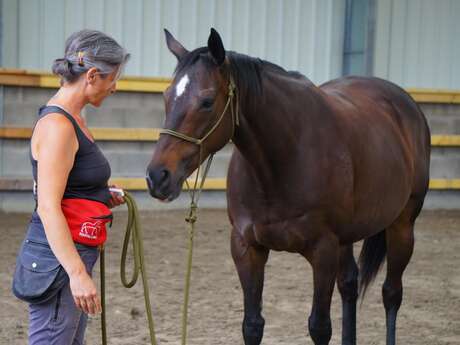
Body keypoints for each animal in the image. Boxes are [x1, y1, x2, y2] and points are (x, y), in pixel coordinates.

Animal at [146, 28, 432, 344]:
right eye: (166, 96)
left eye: (207, 101)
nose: (157, 176)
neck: (283, 159)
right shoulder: (247, 248)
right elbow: (252, 325)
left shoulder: (323, 251)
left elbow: (319, 327)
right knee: (349, 285)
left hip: (402, 225)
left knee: (391, 293)